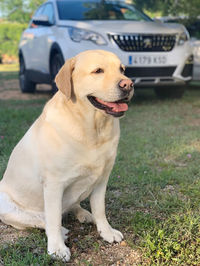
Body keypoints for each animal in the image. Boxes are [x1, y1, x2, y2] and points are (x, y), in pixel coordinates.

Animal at [0, 49, 134, 260]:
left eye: (122, 69)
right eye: (98, 71)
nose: (128, 84)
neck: (93, 130)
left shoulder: (102, 179)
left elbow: (100, 209)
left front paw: (106, 231)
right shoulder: (54, 185)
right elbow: (53, 218)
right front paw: (57, 248)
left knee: (72, 206)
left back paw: (84, 214)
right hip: (7, 206)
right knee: (41, 220)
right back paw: (61, 231)